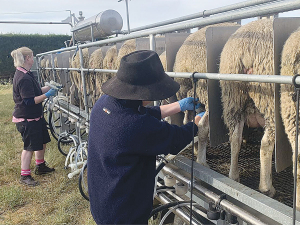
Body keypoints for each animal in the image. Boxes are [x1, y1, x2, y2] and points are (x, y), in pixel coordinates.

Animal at [218, 18, 274, 197]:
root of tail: (247, 48)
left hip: (233, 98)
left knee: (235, 137)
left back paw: (234, 176)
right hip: (270, 100)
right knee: (265, 144)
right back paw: (267, 188)